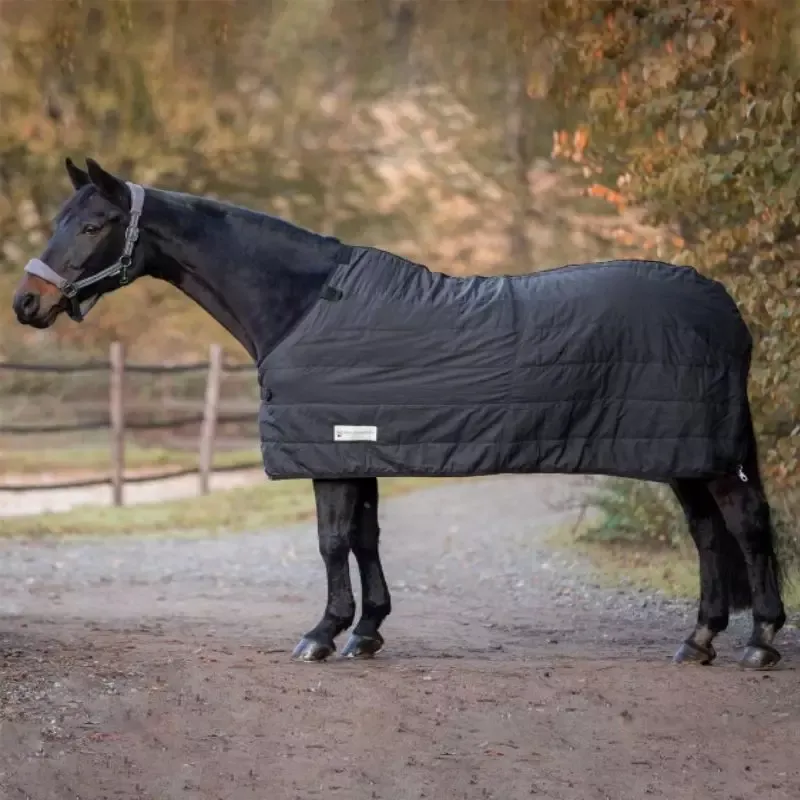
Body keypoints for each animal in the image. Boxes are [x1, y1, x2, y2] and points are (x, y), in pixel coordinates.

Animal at [11, 157, 788, 669]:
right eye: (59, 220)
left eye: (96, 224)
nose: (26, 303)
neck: (302, 306)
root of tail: (725, 307)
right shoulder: (357, 445)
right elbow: (365, 539)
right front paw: (367, 632)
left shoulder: (329, 450)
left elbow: (332, 542)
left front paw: (323, 633)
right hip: (684, 454)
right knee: (708, 534)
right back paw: (699, 640)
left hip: (704, 455)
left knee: (746, 525)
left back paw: (760, 641)